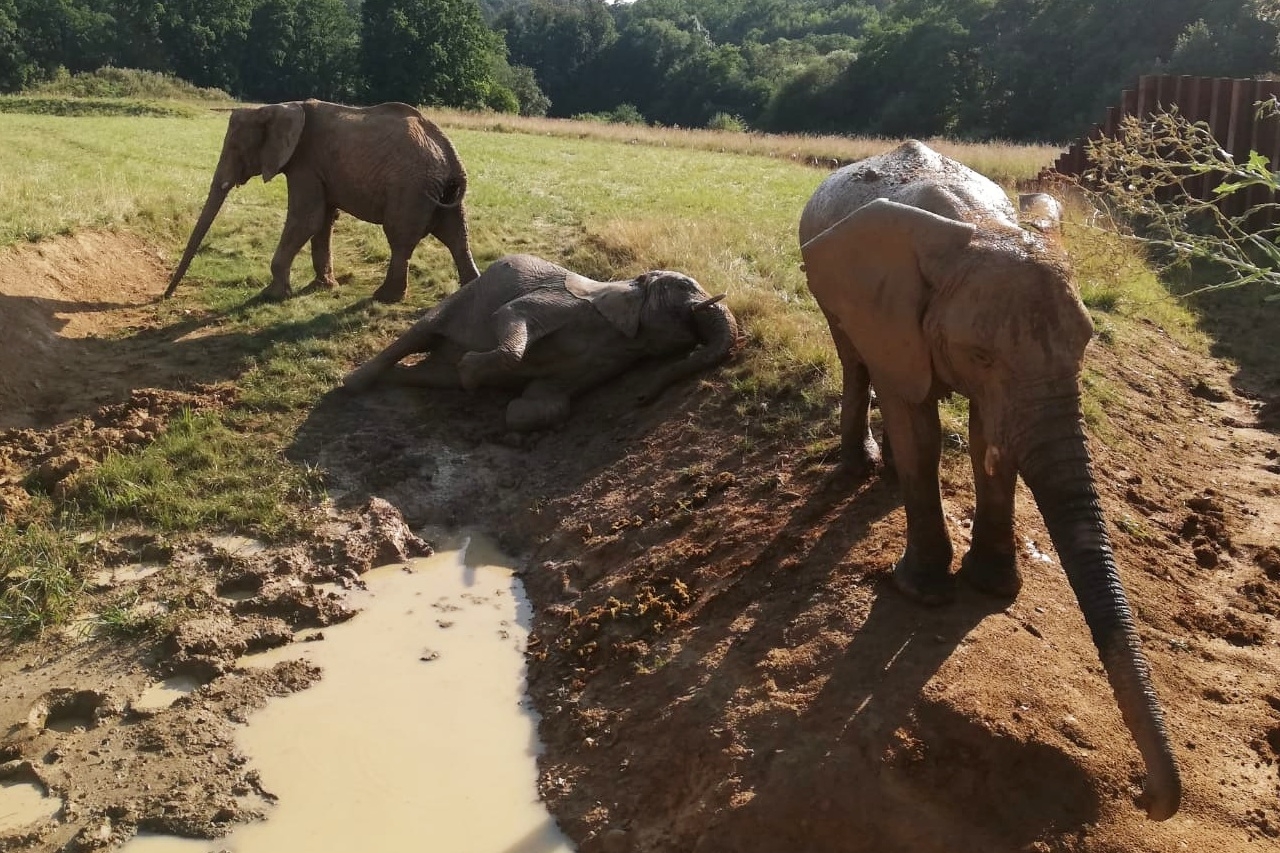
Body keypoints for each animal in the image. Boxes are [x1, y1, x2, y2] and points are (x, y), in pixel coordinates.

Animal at [162, 97, 478, 302]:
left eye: (236, 148)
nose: (165, 297)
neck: (277, 107)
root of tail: (450, 157)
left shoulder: (305, 163)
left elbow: (306, 219)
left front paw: (272, 295)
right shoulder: (317, 168)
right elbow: (323, 220)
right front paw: (322, 287)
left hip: (410, 189)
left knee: (400, 238)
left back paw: (384, 298)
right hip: (441, 193)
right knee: (457, 235)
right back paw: (469, 291)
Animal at [340, 251, 742, 425]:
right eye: (684, 288)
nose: (641, 398)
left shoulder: (602, 361)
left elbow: (546, 401)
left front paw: (512, 409)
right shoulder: (566, 304)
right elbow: (509, 314)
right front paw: (471, 371)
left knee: (431, 374)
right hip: (462, 299)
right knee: (419, 334)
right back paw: (354, 384)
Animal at [798, 137, 1177, 819]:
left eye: (1087, 343)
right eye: (979, 353)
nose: (1143, 797)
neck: (977, 227)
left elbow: (988, 442)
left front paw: (994, 587)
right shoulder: (888, 308)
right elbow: (919, 423)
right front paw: (922, 593)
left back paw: (883, 477)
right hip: (829, 287)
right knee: (855, 357)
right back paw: (860, 468)